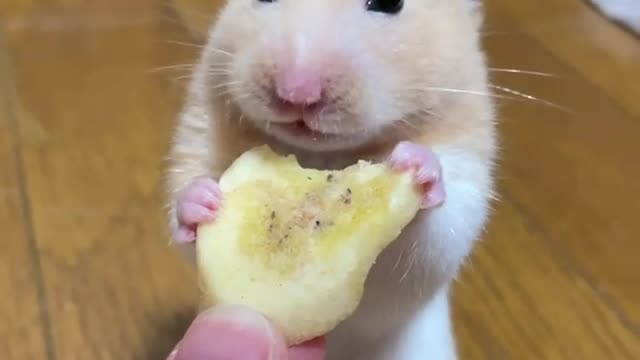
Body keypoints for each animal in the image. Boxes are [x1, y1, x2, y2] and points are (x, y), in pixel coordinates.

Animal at [165, 1, 496, 358]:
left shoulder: (464, 181)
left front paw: (416, 164)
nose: (296, 92)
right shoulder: (198, 135)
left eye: (389, 5)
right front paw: (203, 198)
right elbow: (183, 212)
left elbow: (432, 242)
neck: (320, 154)